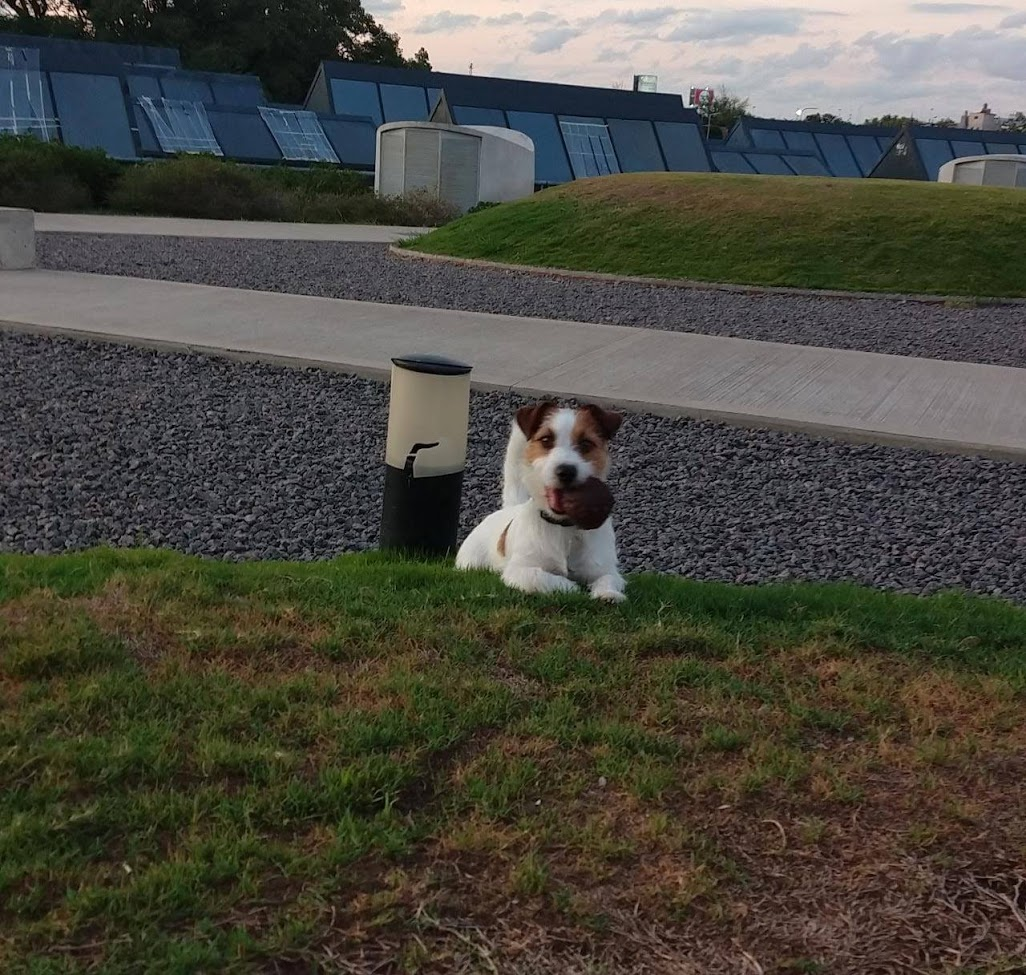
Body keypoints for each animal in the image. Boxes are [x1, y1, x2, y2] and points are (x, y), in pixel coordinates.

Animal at [455, 400, 627, 602]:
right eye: (546, 440)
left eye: (586, 443)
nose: (566, 471)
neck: (563, 528)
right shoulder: (519, 571)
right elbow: (545, 577)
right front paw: (573, 588)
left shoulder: (605, 569)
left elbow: (608, 578)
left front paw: (608, 594)